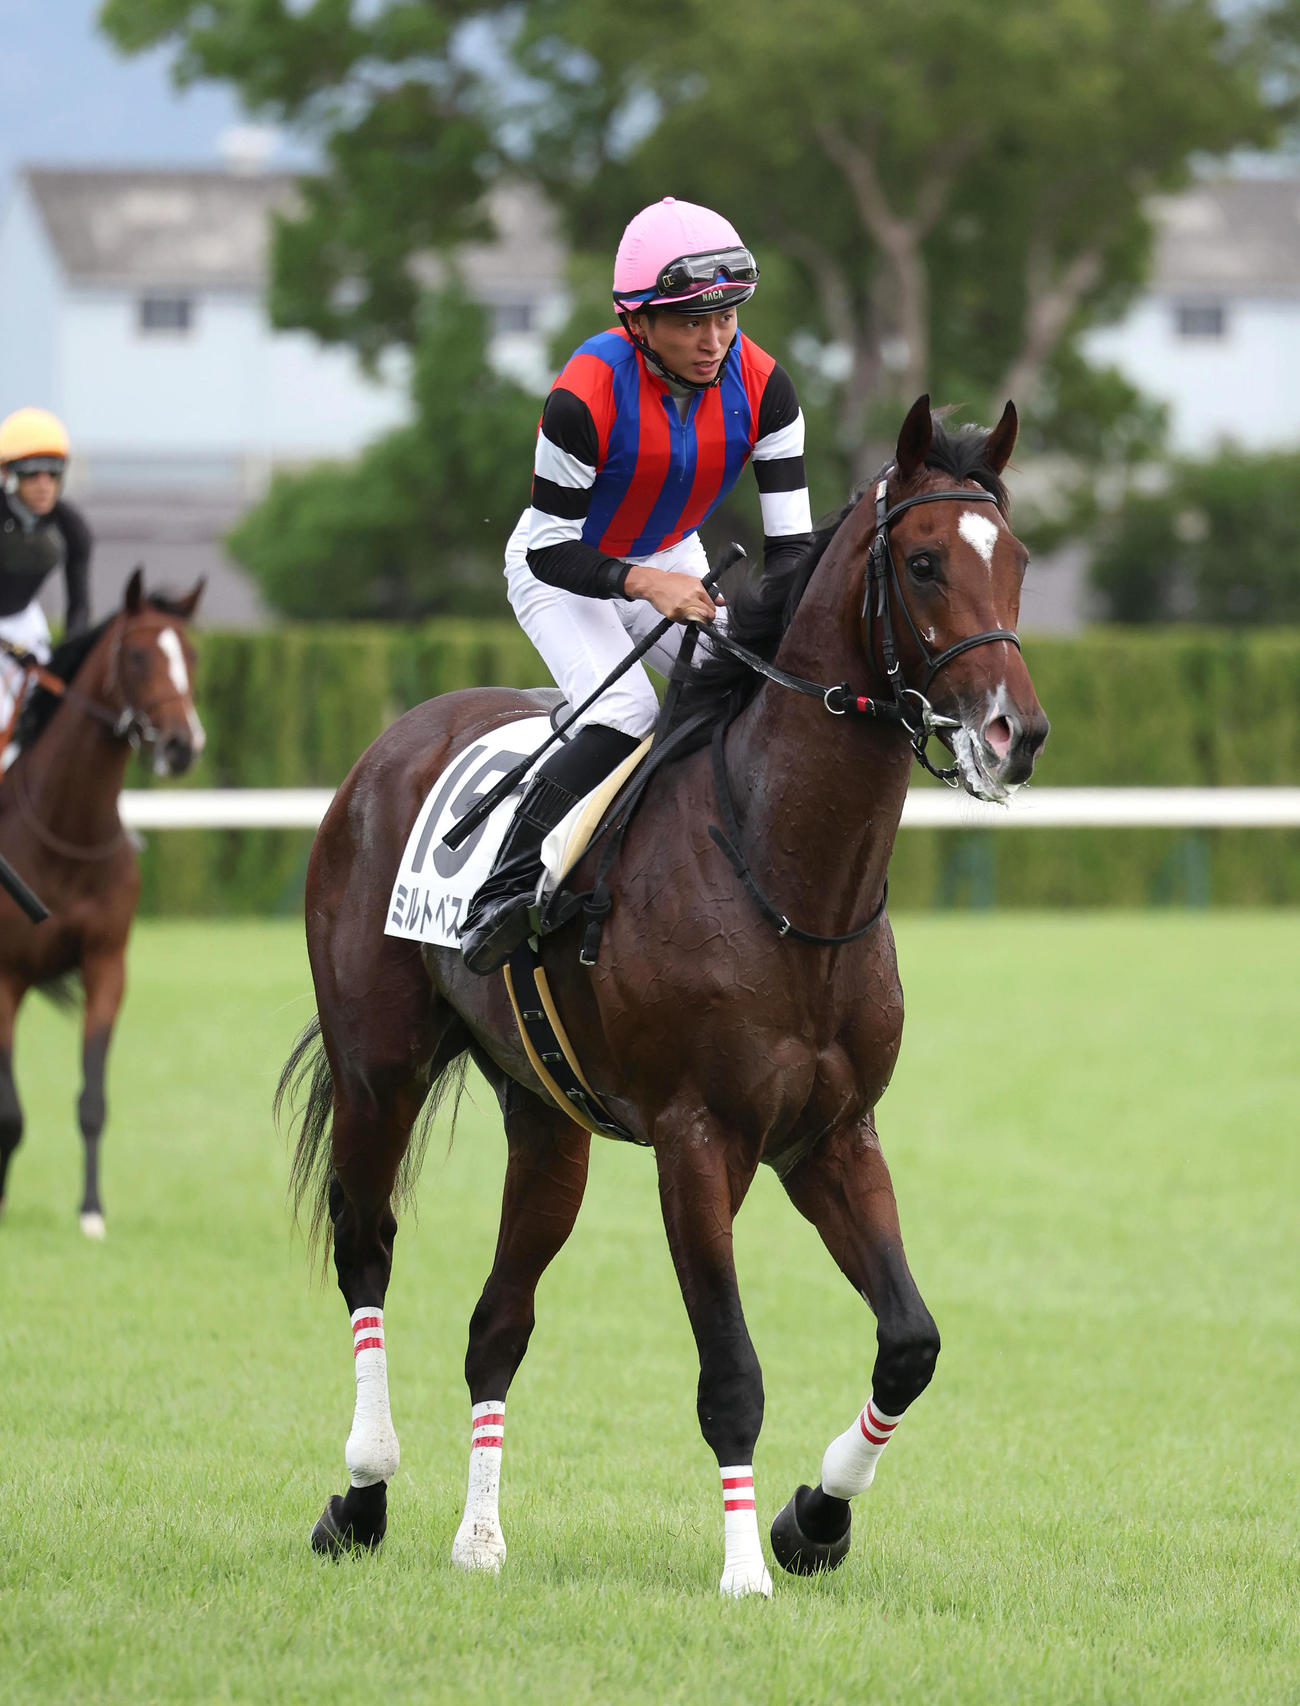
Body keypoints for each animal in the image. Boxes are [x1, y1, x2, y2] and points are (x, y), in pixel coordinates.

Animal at [0, 568, 205, 1237]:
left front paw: (91, 1211)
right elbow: (9, 1112)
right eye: (137, 655)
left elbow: (92, 1098)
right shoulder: (6, 976)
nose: (183, 744)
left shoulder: (107, 963)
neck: (66, 831)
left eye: (190, 653)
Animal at [279, 396, 1049, 1596]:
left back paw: (479, 1536)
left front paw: (814, 1520)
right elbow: (730, 1370)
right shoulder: (698, 1139)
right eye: (924, 562)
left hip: (548, 1119)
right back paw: (360, 1497)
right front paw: (745, 1568)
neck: (783, 868)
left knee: (498, 1319)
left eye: (1014, 559)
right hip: (378, 1067)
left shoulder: (833, 1135)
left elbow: (910, 1342)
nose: (1015, 734)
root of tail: (392, 743)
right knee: (367, 1247)